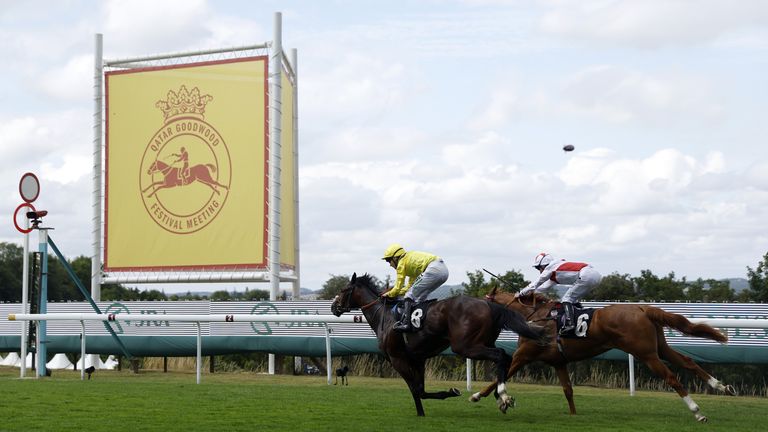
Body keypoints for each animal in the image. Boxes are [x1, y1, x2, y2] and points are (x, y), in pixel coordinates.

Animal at [330, 274, 544, 416]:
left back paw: (503, 396)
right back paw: (499, 398)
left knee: (500, 354)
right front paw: (430, 406)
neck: (384, 316)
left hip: (465, 346)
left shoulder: (396, 358)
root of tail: (489, 304)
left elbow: (416, 389)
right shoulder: (417, 358)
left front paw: (439, 399)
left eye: (343, 290)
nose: (333, 307)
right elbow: (419, 389)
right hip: (483, 341)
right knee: (506, 357)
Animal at [472, 286, 736, 422]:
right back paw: (722, 386)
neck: (533, 316)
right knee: (688, 362)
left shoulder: (523, 355)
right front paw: (574, 416)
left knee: (672, 378)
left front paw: (482, 396)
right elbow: (568, 390)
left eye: (484, 300)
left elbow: (499, 377)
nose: (474, 315)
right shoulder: (558, 362)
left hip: (645, 353)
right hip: (659, 347)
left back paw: (697, 412)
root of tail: (643, 308)